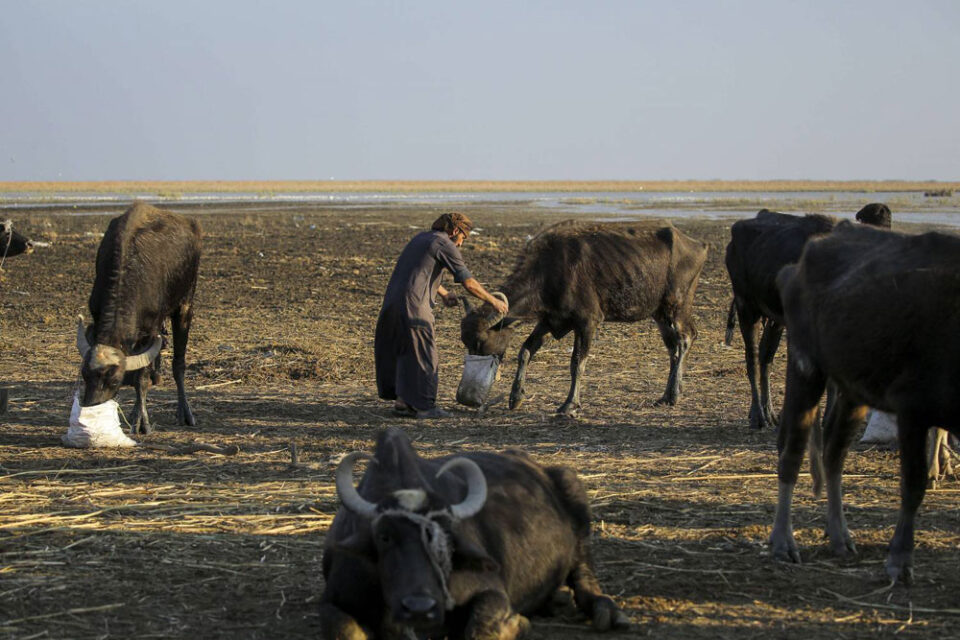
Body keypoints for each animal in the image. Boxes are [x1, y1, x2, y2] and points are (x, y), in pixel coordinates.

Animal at [76, 204, 201, 436]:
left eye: (114, 380)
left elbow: (141, 378)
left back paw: (185, 412)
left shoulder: (149, 330)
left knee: (178, 363)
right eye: (84, 374)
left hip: (185, 304)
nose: (90, 407)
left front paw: (141, 421)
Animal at [320, 424, 632, 640]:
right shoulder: (335, 600)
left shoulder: (491, 590)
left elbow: (480, 629)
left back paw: (606, 610)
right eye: (384, 537)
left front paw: (519, 624)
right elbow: (343, 630)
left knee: (584, 573)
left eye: (446, 538)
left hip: (575, 494)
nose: (419, 607)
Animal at [462, 220, 708, 416]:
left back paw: (674, 394)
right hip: (659, 314)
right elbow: (525, 351)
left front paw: (570, 405)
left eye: (480, 341)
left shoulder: (588, 322)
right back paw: (666, 395)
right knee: (672, 347)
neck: (550, 270)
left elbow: (577, 362)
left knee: (685, 339)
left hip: (677, 306)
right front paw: (516, 397)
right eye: (466, 342)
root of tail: (697, 245)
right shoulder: (551, 321)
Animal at [728, 202, 892, 428]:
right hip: (746, 307)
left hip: (775, 320)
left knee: (765, 357)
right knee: (751, 358)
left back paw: (768, 412)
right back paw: (759, 416)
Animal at [768, 221, 960, 584]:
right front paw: (900, 559)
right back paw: (782, 541)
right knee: (792, 454)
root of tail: (793, 269)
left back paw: (839, 536)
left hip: (854, 392)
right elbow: (913, 485)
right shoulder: (912, 410)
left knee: (833, 454)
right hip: (805, 368)